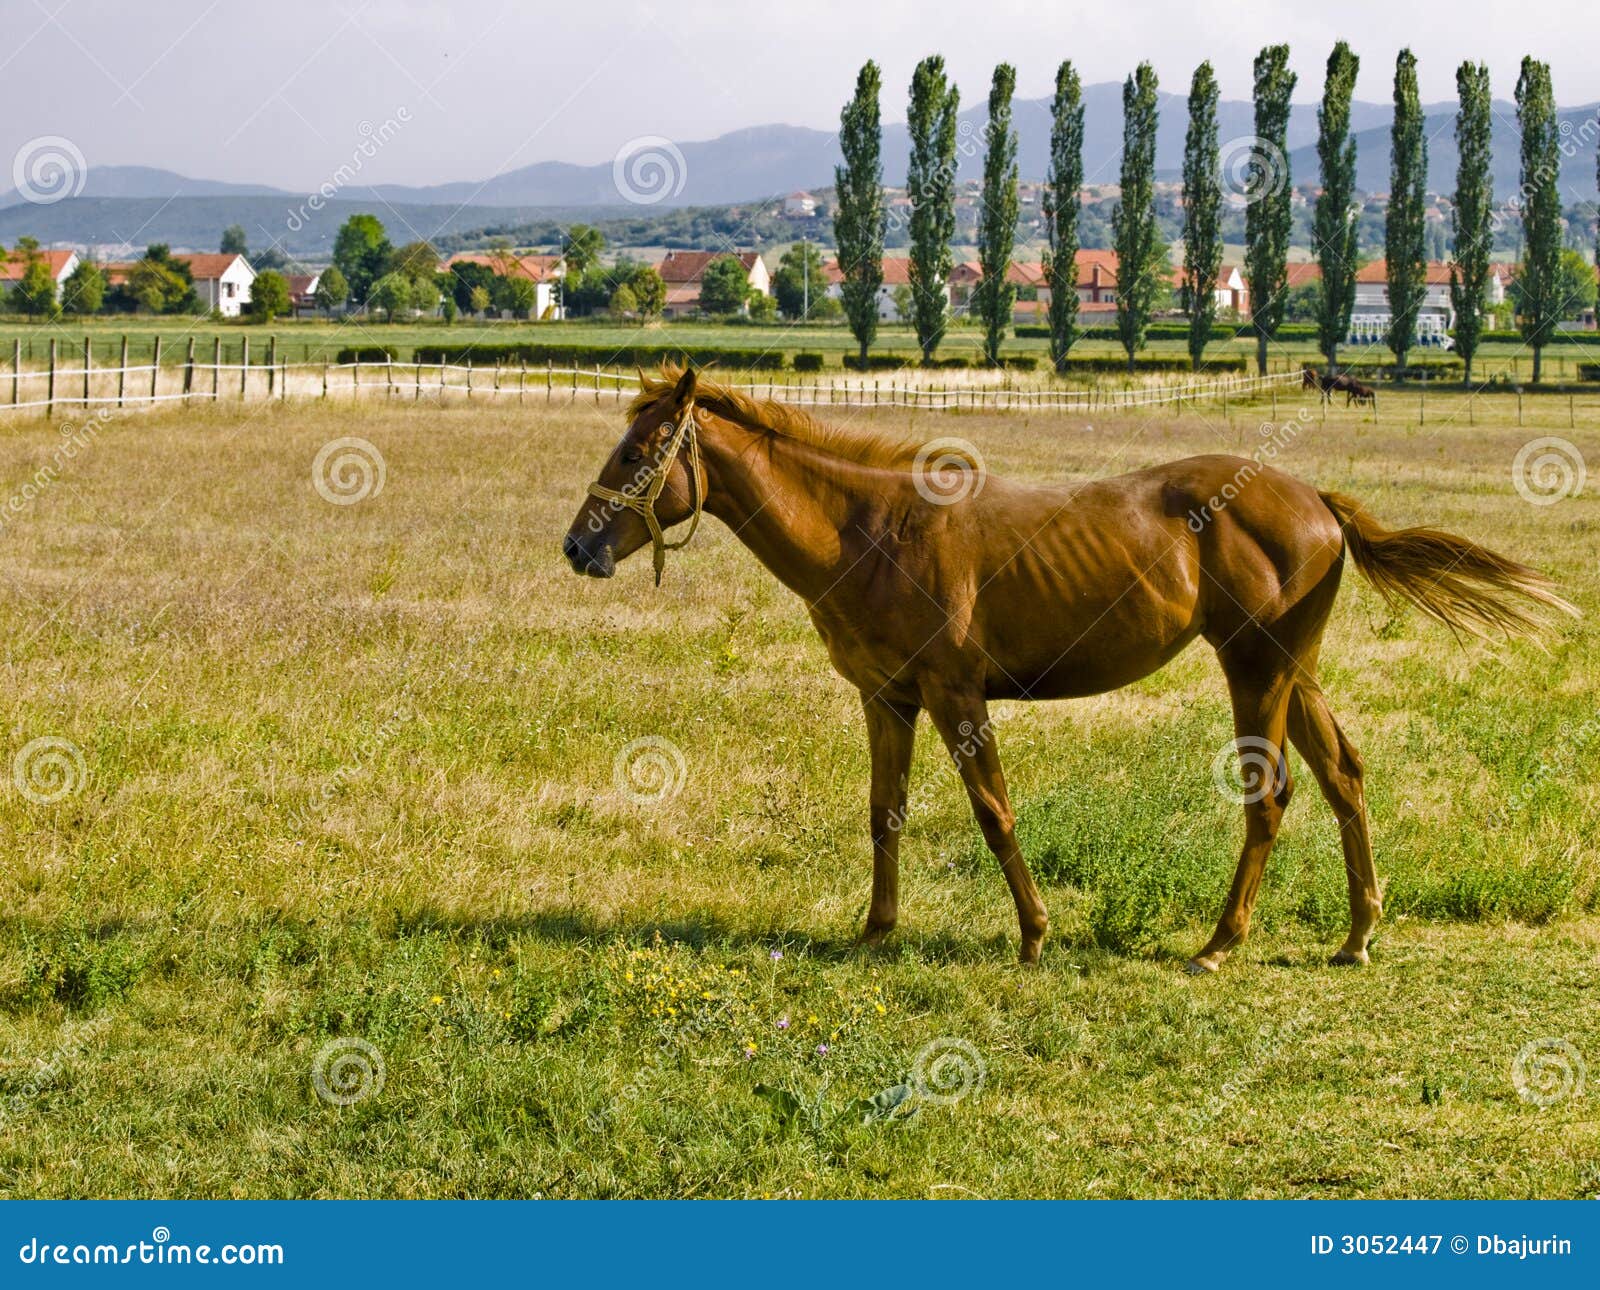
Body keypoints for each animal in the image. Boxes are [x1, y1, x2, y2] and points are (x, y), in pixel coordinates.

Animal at [563, 363, 1574, 973]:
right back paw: (1358, 936)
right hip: (1297, 672)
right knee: (1345, 780)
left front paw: (1034, 934)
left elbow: (994, 812)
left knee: (1273, 796)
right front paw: (877, 930)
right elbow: (885, 814)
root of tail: (1319, 501)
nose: (579, 547)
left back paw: (1218, 944)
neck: (871, 531)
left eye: (639, 451)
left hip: (1255, 671)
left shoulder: (955, 694)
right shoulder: (888, 699)